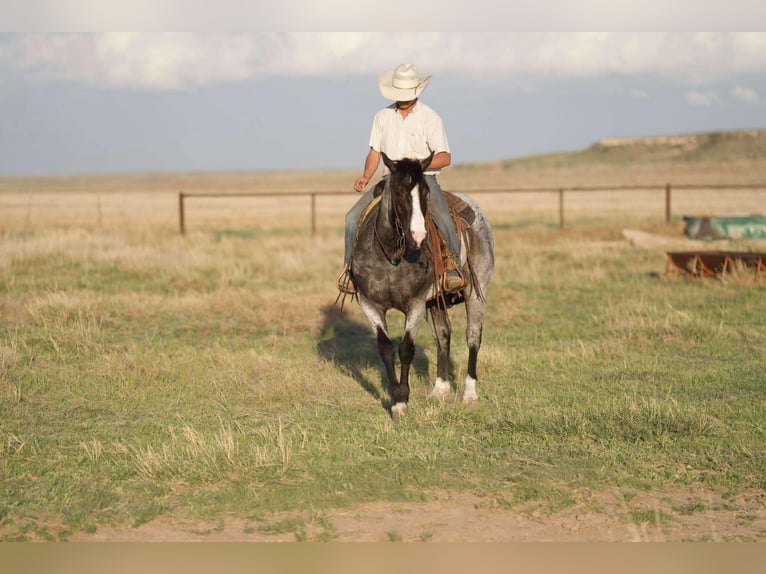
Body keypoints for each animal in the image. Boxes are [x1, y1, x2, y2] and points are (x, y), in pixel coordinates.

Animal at [349, 152, 494, 419]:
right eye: (398, 192)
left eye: (425, 191)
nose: (418, 236)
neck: (392, 257)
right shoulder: (370, 304)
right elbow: (386, 348)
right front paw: (396, 400)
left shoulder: (415, 304)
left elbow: (406, 349)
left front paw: (403, 399)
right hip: (434, 302)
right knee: (443, 335)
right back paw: (440, 390)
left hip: (475, 292)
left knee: (473, 336)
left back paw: (469, 393)